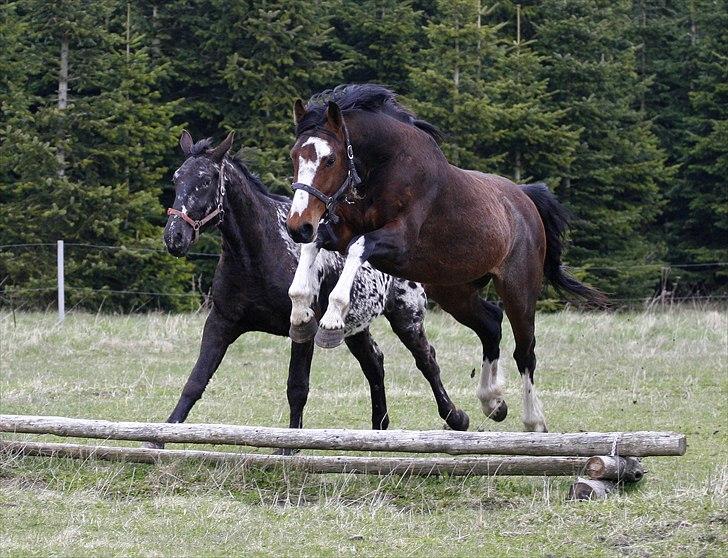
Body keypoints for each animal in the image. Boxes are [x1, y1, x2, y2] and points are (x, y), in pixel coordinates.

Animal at [156, 130, 470, 446]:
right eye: (177, 178)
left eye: (206, 180)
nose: (174, 237)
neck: (259, 251)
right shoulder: (221, 322)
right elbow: (196, 380)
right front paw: (160, 437)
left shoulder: (302, 330)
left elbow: (297, 387)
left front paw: (288, 448)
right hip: (351, 328)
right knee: (374, 363)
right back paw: (379, 426)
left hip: (407, 319)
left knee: (427, 360)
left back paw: (456, 418)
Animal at [288, 84, 604, 434]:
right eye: (295, 155)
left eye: (329, 159)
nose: (297, 226)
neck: (383, 167)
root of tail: (524, 198)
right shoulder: (340, 231)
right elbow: (314, 245)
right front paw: (301, 315)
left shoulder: (397, 241)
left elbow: (358, 247)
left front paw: (331, 321)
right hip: (454, 289)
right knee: (490, 324)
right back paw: (492, 401)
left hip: (518, 288)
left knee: (525, 351)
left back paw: (533, 420)